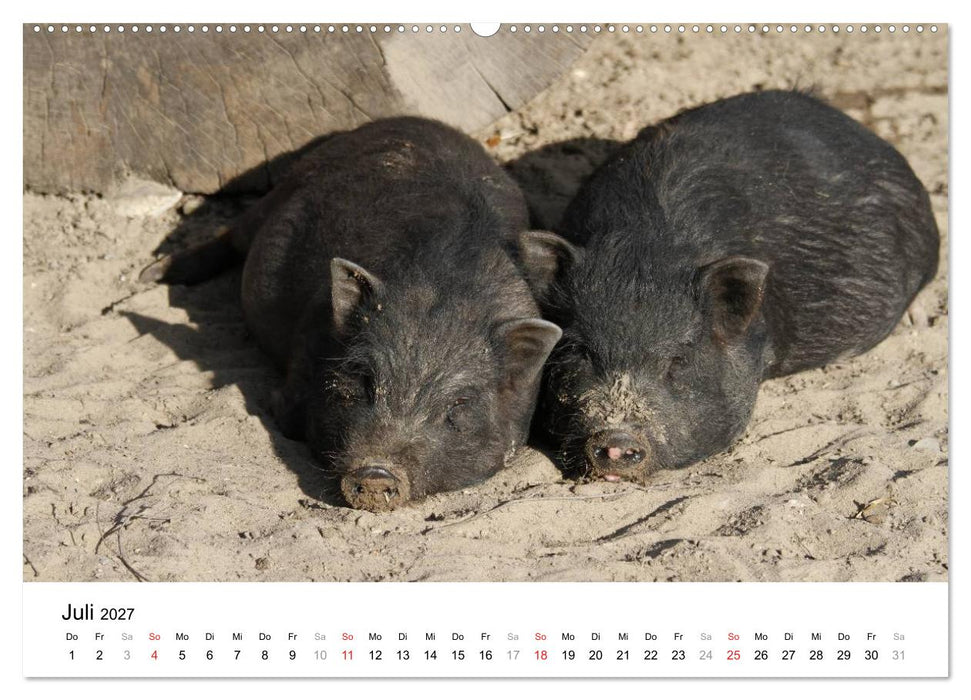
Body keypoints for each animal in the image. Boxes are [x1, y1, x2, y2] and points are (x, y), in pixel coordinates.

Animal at [141, 117, 561, 511]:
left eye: (458, 404)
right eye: (363, 379)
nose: (376, 473)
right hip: (278, 195)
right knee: (230, 235)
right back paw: (152, 273)